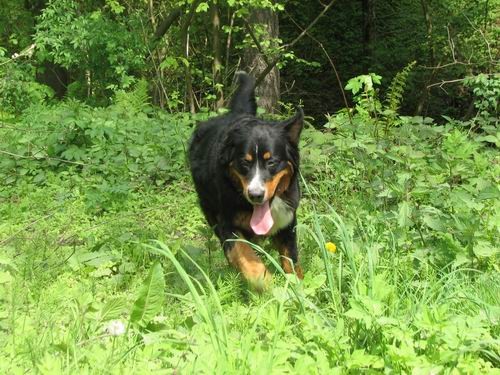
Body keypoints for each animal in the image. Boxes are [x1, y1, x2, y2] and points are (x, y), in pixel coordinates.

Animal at [188, 72, 302, 292]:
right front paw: (264, 282)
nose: (255, 195)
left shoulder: (287, 222)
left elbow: (292, 263)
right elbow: (246, 257)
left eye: (271, 162)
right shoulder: (227, 223)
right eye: (244, 162)